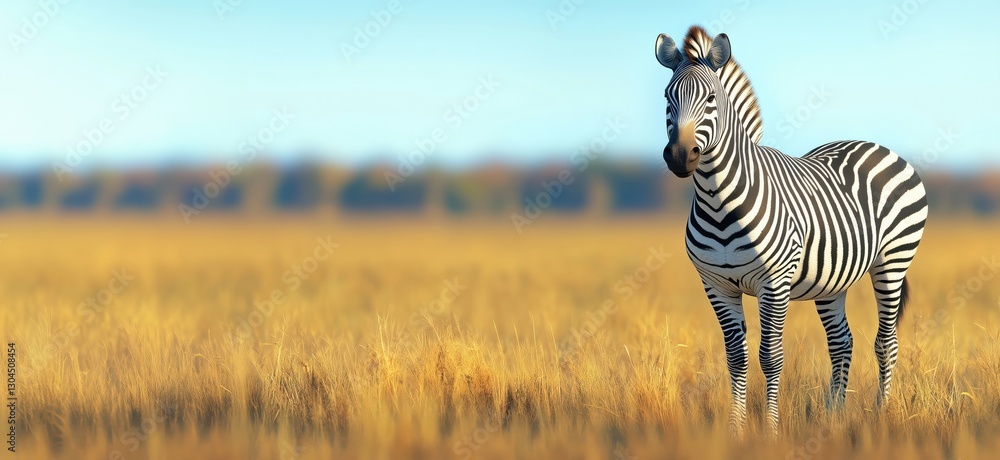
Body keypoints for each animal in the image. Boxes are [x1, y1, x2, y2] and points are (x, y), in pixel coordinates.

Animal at [653, 26, 928, 437]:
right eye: (667, 98)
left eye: (711, 98)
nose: (680, 156)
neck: (718, 201)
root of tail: (874, 144)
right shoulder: (716, 285)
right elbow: (735, 357)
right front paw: (735, 432)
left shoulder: (774, 283)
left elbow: (770, 357)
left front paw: (770, 431)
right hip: (832, 279)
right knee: (841, 342)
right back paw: (833, 418)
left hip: (893, 260)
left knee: (886, 342)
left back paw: (882, 413)